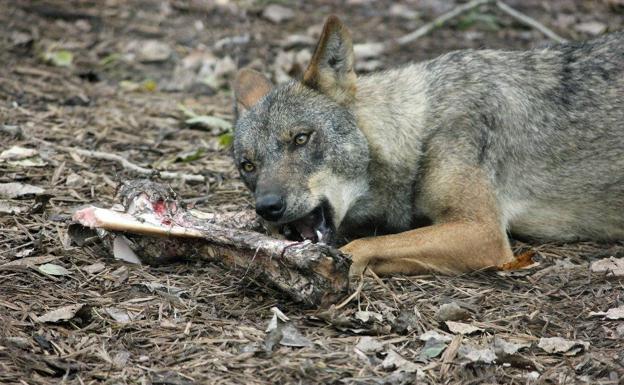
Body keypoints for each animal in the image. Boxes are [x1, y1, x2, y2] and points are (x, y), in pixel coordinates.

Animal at [230, 14, 624, 272]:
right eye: (248, 166)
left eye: (300, 138)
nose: (267, 207)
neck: (421, 131)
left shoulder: (483, 232)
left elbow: (365, 246)